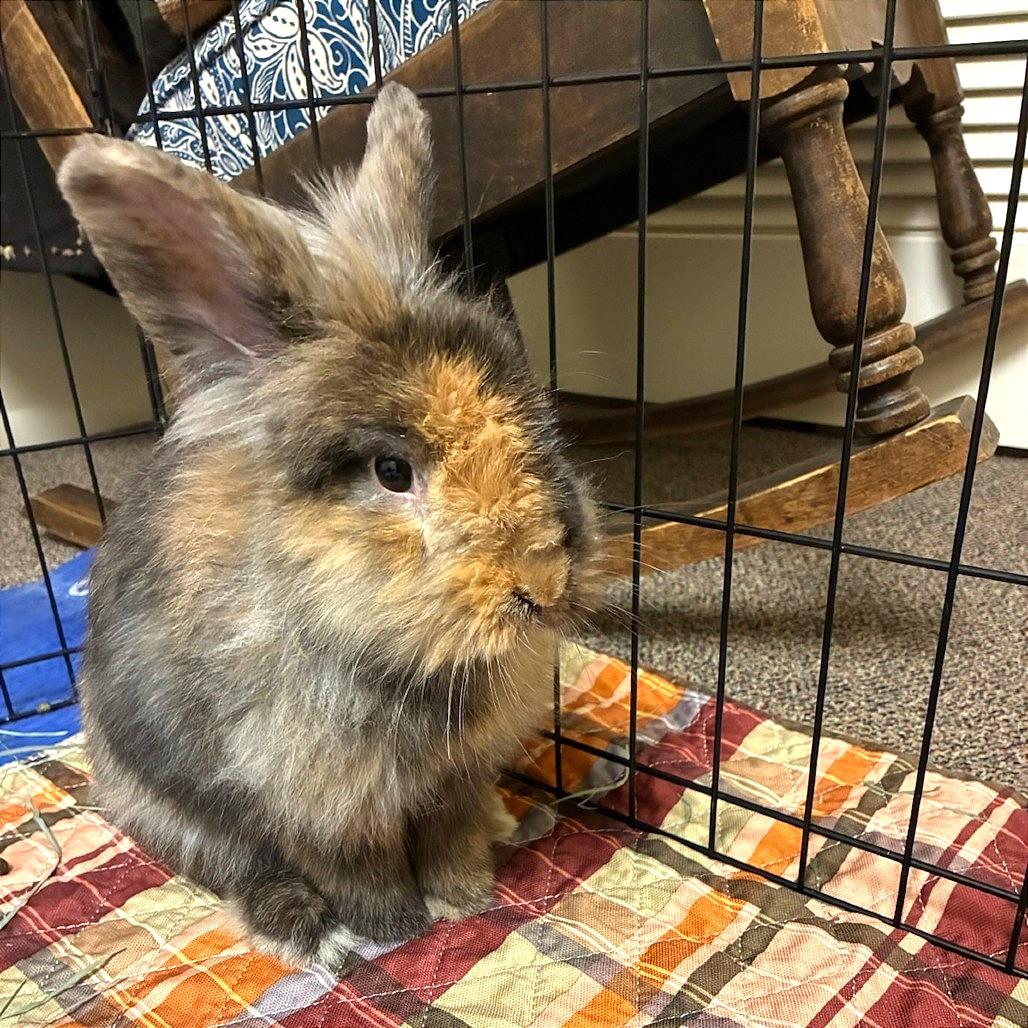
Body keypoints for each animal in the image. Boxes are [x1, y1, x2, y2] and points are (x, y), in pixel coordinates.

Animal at [57, 83, 600, 967]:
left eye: (536, 422)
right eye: (392, 472)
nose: (543, 584)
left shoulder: (454, 779)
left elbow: (451, 835)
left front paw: (464, 898)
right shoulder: (320, 803)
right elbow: (357, 872)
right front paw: (395, 929)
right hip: (161, 805)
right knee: (236, 867)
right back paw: (305, 930)